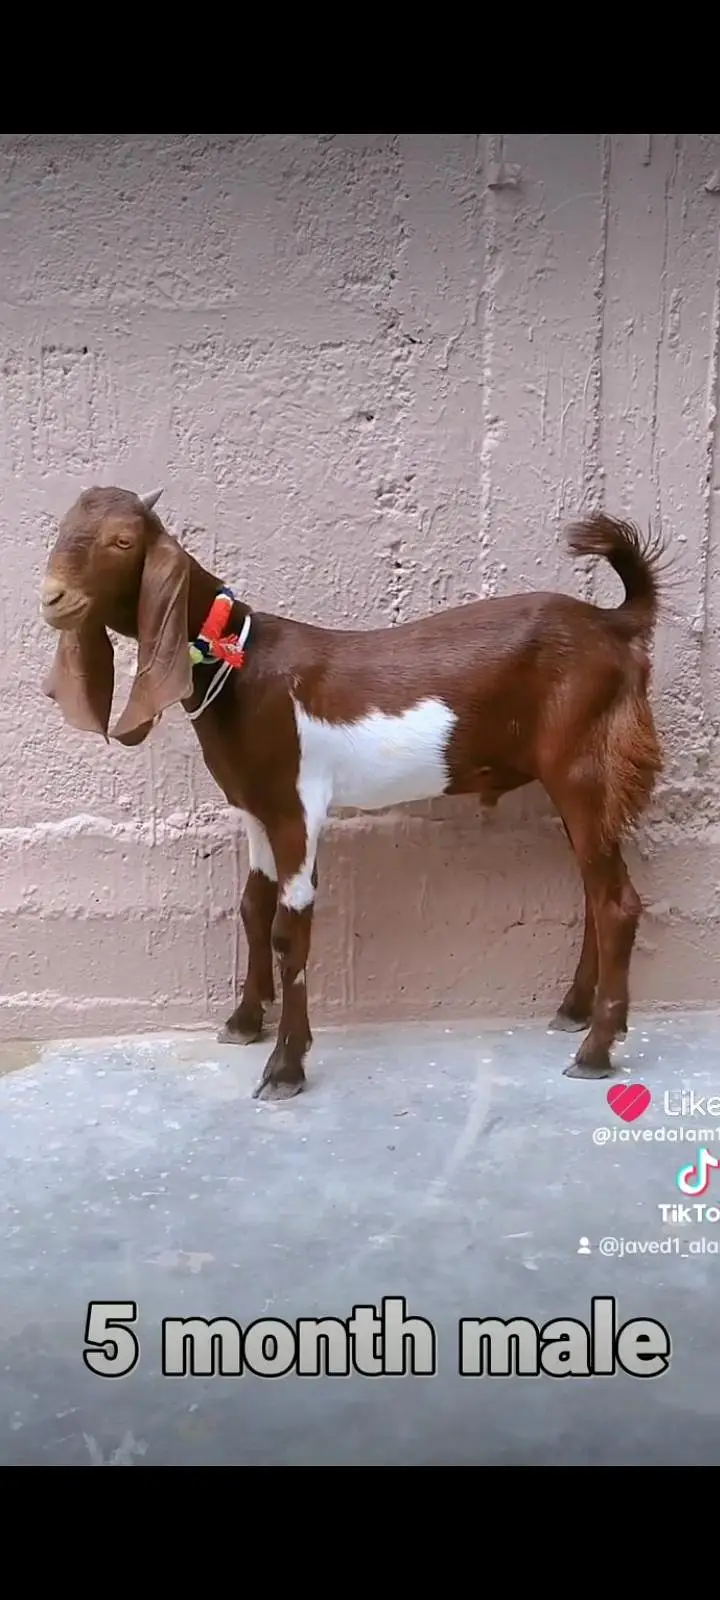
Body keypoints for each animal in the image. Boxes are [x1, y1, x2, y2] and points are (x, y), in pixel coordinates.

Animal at [39, 486, 665, 1101]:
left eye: (123, 541)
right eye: (63, 528)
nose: (52, 597)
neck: (239, 661)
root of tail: (615, 625)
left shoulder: (296, 808)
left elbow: (289, 930)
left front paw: (284, 1067)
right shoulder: (255, 809)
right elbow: (251, 907)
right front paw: (244, 1021)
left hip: (583, 767)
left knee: (616, 903)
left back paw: (594, 1051)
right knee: (594, 891)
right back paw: (574, 1012)